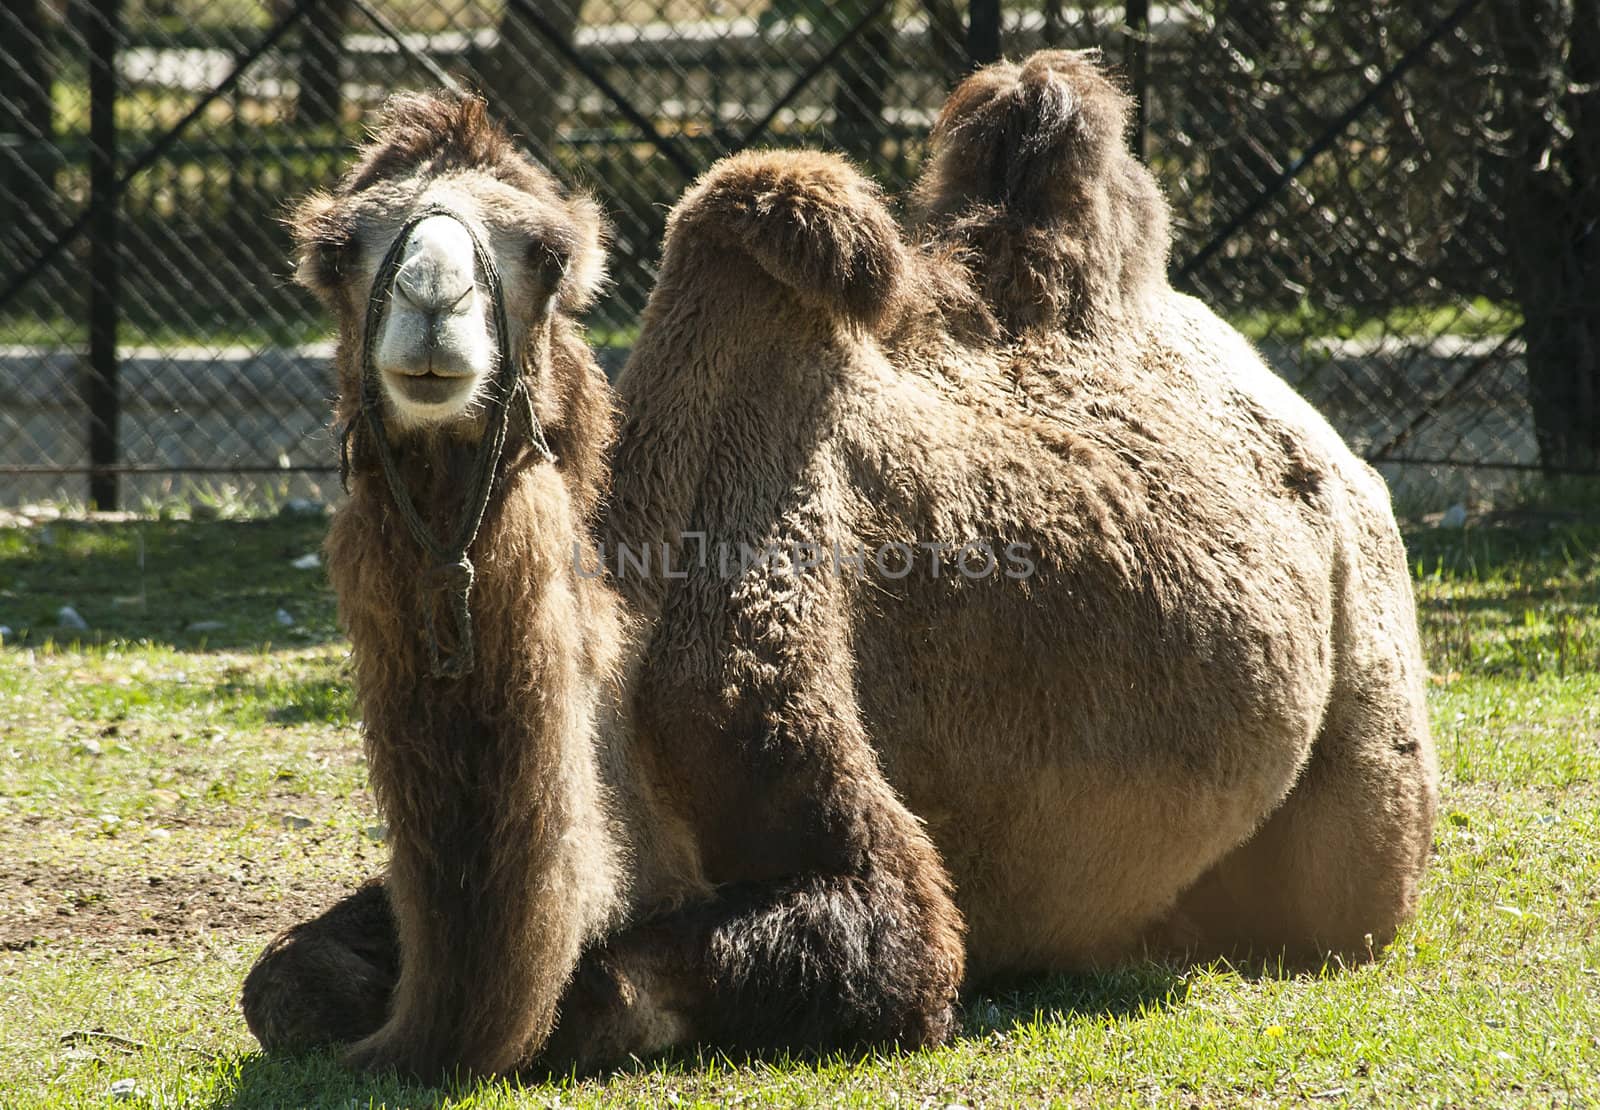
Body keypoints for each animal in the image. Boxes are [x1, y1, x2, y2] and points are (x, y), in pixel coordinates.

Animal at [243, 51, 1446, 1087]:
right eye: (338, 251)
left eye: (543, 253)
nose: (432, 306)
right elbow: (283, 982)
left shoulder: (803, 752)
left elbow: (633, 985)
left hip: (1368, 738)